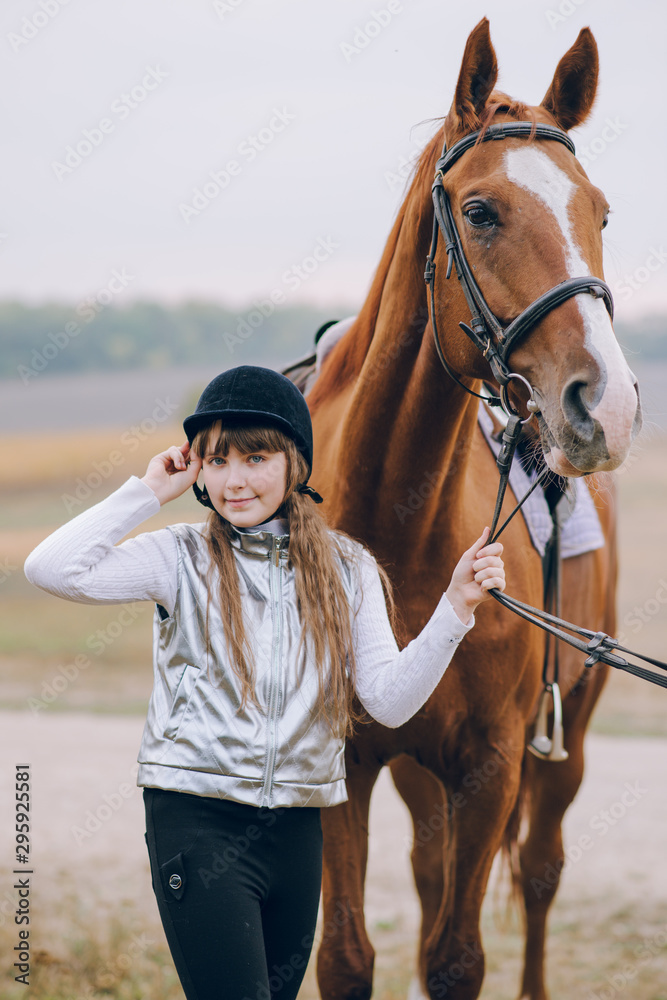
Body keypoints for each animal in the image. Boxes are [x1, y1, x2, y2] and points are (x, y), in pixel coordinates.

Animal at [305, 19, 641, 1000]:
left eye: (598, 213)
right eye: (483, 212)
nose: (607, 405)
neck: (399, 530)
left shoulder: (490, 765)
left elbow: (457, 958)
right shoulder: (346, 760)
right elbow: (348, 957)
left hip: (571, 728)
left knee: (537, 873)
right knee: (430, 871)